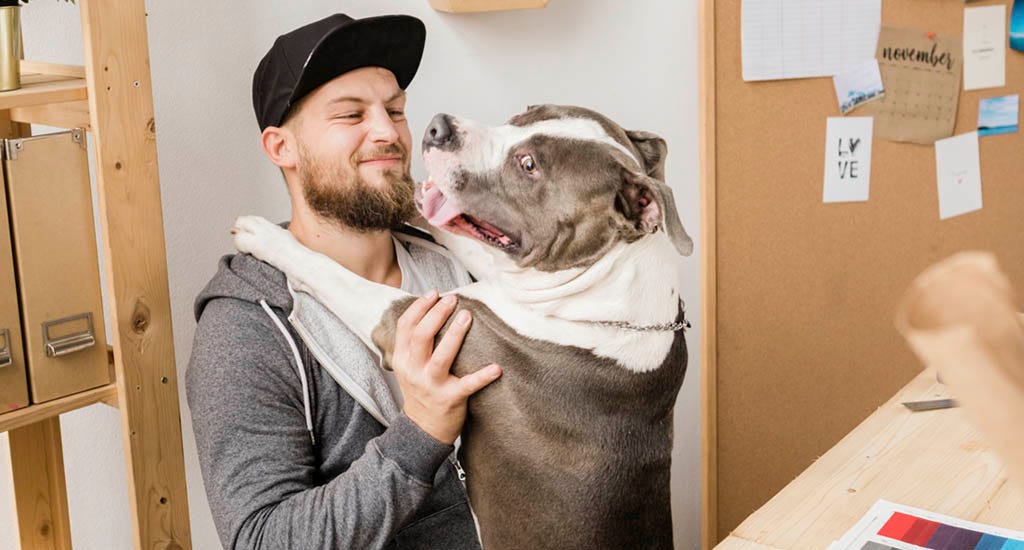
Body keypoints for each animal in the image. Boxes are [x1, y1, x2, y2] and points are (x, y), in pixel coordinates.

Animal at [231, 103, 692, 548]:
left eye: (529, 165)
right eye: (526, 111)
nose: (439, 126)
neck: (605, 298)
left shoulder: (413, 322)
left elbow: (334, 274)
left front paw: (268, 238)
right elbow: (454, 234)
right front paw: (403, 193)